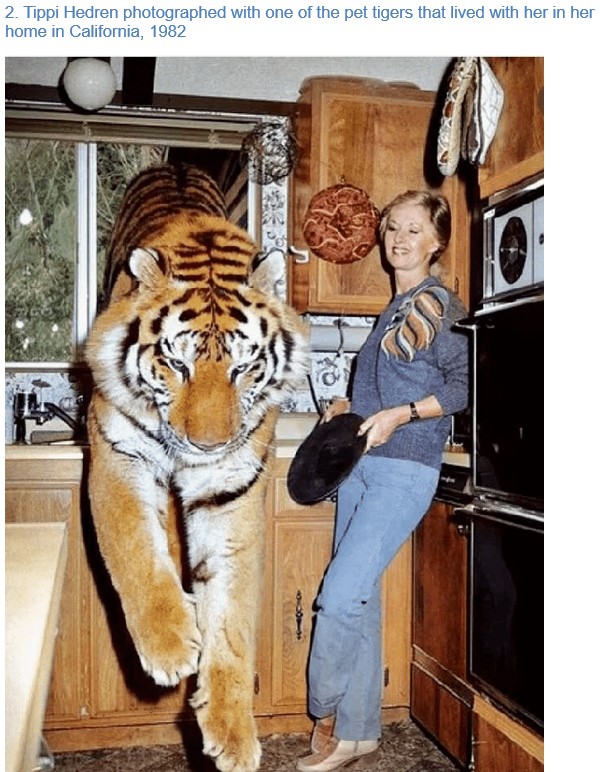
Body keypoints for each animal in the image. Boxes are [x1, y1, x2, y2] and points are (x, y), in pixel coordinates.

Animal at [85, 163, 309, 772]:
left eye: (244, 367)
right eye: (175, 363)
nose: (207, 444)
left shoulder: (229, 488)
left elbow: (232, 614)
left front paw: (232, 732)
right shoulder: (116, 453)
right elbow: (134, 546)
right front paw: (168, 646)